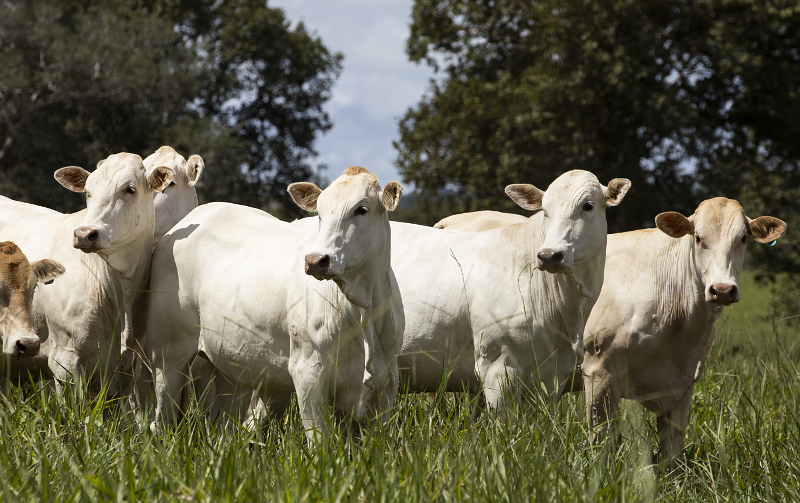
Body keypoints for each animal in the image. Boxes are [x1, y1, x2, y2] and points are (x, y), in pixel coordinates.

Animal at [145, 166, 404, 440]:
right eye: (319, 213)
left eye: (361, 209)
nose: (316, 260)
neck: (363, 310)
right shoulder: (308, 375)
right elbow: (319, 440)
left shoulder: (387, 382)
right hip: (167, 355)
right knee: (162, 420)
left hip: (229, 368)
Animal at [580, 198, 788, 464]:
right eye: (698, 237)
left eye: (743, 238)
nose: (722, 290)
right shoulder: (598, 374)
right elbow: (601, 446)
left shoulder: (682, 387)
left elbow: (672, 454)